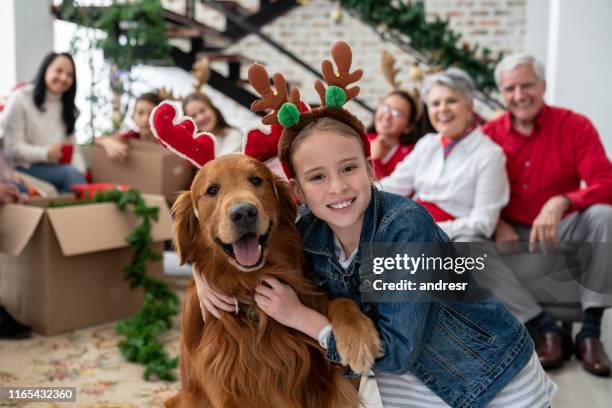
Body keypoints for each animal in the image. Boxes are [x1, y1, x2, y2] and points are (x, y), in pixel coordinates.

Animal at [165, 154, 380, 408]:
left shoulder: (331, 381)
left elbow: (340, 302)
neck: (252, 291)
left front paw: (360, 340)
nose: (243, 212)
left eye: (257, 180)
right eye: (212, 190)